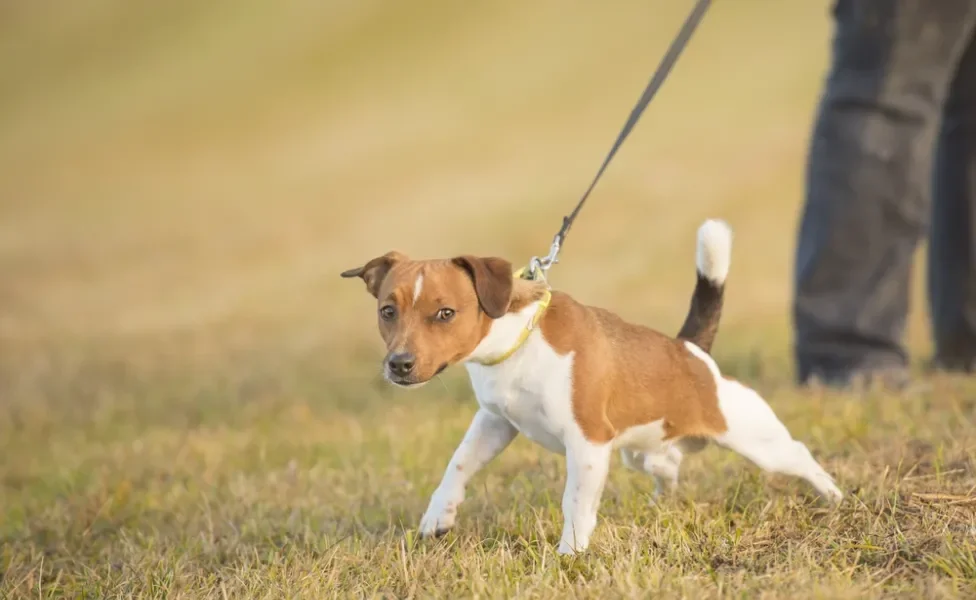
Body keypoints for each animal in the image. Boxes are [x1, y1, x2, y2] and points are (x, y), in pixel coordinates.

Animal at [342, 219, 840, 552]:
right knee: (669, 466)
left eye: (445, 313)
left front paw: (570, 554)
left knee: (798, 456)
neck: (519, 343)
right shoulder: (496, 423)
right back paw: (662, 504)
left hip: (755, 439)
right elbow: (458, 464)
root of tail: (690, 350)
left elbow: (575, 503)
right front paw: (437, 517)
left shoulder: (588, 442)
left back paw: (834, 498)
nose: (399, 365)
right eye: (387, 311)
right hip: (641, 452)